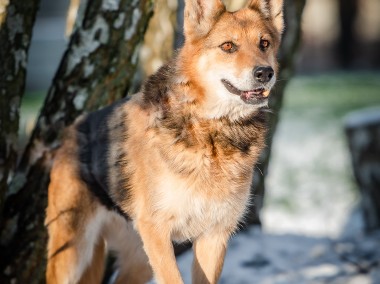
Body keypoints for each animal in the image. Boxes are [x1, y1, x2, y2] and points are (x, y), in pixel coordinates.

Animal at [44, 1, 284, 282]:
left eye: (264, 43)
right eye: (228, 46)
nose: (265, 73)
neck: (212, 131)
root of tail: (73, 130)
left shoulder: (214, 235)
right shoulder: (158, 231)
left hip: (139, 260)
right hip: (73, 253)